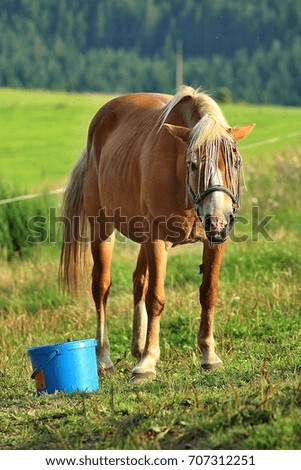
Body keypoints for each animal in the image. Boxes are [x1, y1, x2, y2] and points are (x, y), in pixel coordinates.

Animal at [59, 87, 254, 382]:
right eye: (192, 164)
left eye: (236, 162)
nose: (219, 221)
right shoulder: (157, 239)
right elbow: (156, 298)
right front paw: (148, 362)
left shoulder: (215, 242)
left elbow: (209, 292)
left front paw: (209, 355)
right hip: (102, 229)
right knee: (101, 287)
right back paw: (104, 358)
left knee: (138, 281)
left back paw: (137, 347)